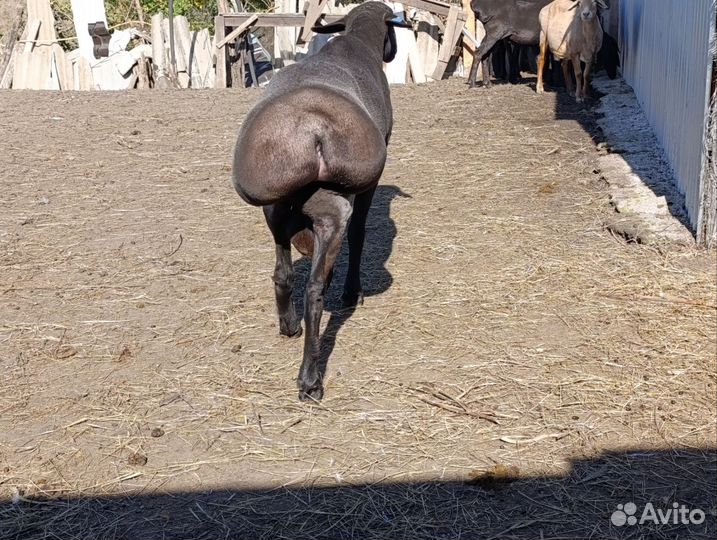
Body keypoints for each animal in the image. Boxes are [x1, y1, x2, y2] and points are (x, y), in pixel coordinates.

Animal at [231, 2, 411, 402]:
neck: (357, 41)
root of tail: (308, 131)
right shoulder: (371, 183)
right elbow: (360, 233)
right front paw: (352, 293)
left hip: (275, 208)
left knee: (282, 272)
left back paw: (288, 325)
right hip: (333, 208)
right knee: (314, 289)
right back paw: (310, 378)